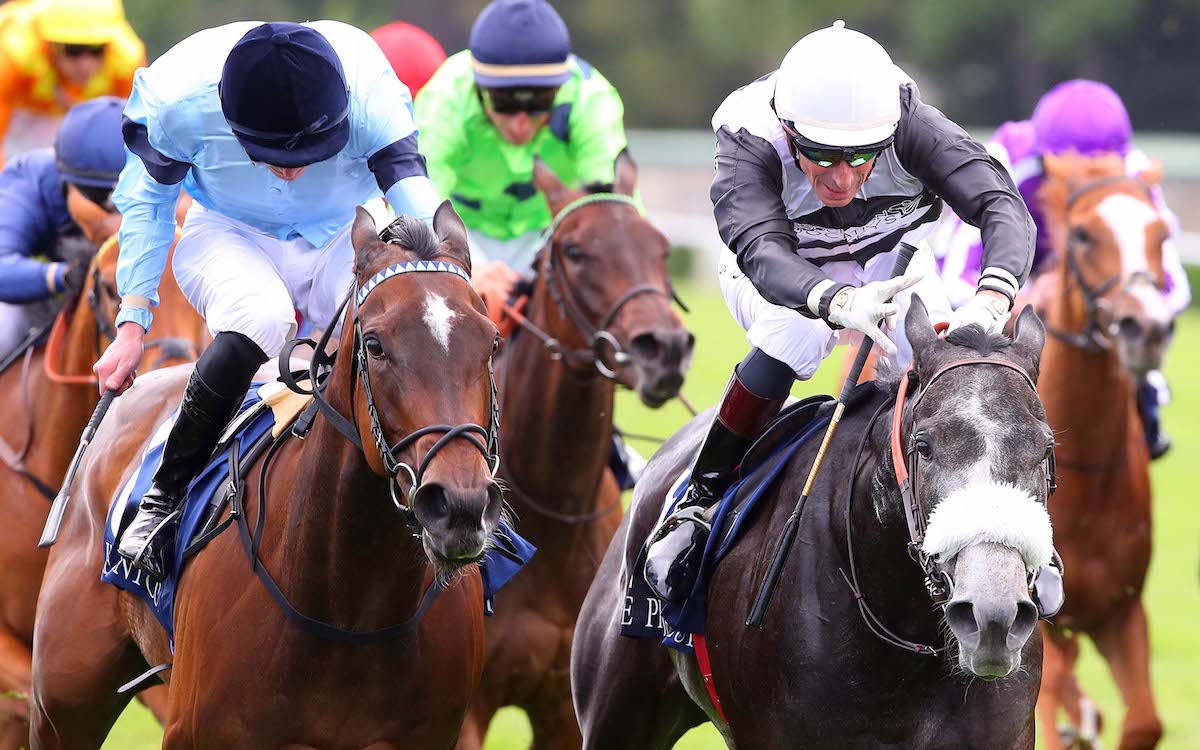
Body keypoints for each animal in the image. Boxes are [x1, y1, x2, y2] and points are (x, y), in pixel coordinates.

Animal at [456, 154, 700, 744]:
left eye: (661, 247)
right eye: (574, 250)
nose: (664, 347)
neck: (553, 514)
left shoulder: (561, 711)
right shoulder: (467, 710)